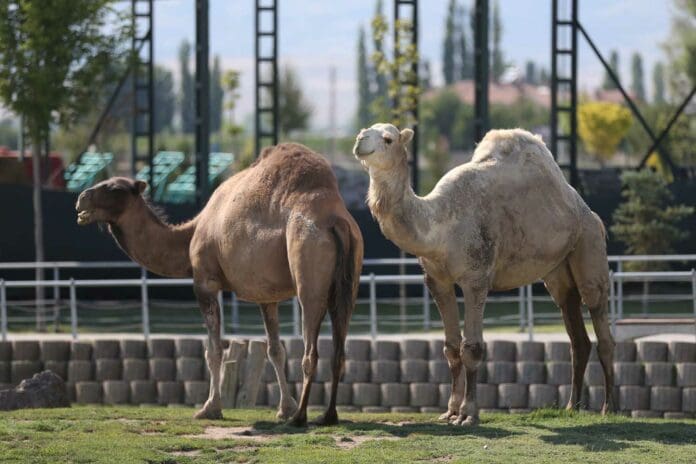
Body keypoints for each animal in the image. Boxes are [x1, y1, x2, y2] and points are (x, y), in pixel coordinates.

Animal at [75, 143, 363, 426]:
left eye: (114, 188)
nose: (81, 199)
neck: (191, 233)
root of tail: (336, 221)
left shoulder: (205, 281)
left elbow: (214, 349)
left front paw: (209, 408)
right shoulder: (266, 294)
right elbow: (274, 350)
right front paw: (284, 408)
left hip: (309, 265)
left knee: (310, 349)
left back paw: (301, 417)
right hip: (348, 282)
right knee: (339, 348)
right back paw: (327, 415)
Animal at [353, 123, 615, 426]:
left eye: (388, 138)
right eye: (365, 130)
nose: (360, 141)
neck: (440, 225)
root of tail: (588, 211)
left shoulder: (476, 278)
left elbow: (472, 348)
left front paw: (468, 414)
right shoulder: (436, 280)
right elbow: (451, 347)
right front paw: (450, 411)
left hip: (589, 244)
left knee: (599, 318)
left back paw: (609, 408)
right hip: (558, 270)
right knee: (575, 329)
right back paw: (572, 407)